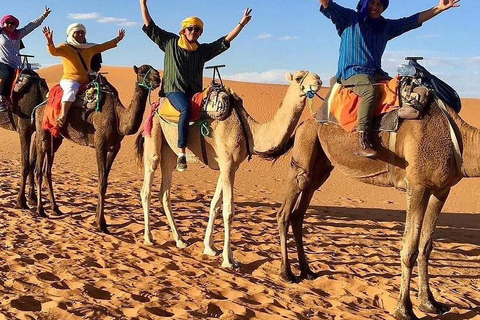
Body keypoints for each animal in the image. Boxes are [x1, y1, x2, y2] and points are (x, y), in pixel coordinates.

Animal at [0, 69, 48, 209]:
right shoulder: (24, 130)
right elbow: (25, 164)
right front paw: (20, 201)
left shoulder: (36, 132)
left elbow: (32, 162)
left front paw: (32, 198)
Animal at [34, 64, 161, 232]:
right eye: (142, 71)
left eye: (155, 70)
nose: (158, 78)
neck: (118, 117)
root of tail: (39, 106)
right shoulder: (100, 145)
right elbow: (101, 182)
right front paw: (100, 224)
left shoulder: (114, 147)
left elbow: (105, 181)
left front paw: (100, 220)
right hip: (43, 131)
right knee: (39, 169)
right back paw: (40, 210)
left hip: (56, 138)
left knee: (47, 170)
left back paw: (55, 208)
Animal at [135, 71, 322, 268]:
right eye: (299, 77)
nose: (317, 80)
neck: (249, 130)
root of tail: (155, 106)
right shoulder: (228, 164)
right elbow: (228, 211)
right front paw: (228, 260)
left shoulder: (228, 166)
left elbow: (214, 205)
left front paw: (209, 248)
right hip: (153, 135)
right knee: (147, 187)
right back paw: (149, 238)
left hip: (170, 153)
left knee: (164, 192)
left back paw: (179, 239)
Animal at [276, 92, 478, 318]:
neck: (459, 142)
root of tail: (304, 123)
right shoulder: (417, 186)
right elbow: (409, 249)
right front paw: (404, 309)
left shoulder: (441, 190)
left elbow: (426, 247)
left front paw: (430, 303)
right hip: (305, 147)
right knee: (287, 208)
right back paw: (287, 273)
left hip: (322, 166)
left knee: (299, 212)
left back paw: (307, 270)